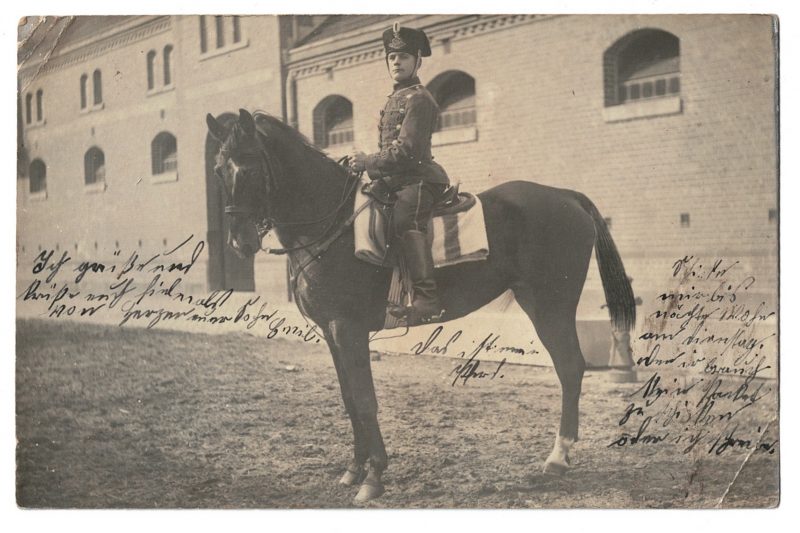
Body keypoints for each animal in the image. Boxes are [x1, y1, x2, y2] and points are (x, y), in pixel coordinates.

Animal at [209, 109, 636, 502]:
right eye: (218, 170)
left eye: (249, 168)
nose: (240, 242)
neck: (330, 224)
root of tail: (566, 195)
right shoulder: (331, 332)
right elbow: (349, 400)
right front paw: (353, 469)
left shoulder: (349, 329)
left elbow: (365, 400)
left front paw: (373, 477)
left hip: (550, 306)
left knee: (570, 368)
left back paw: (558, 458)